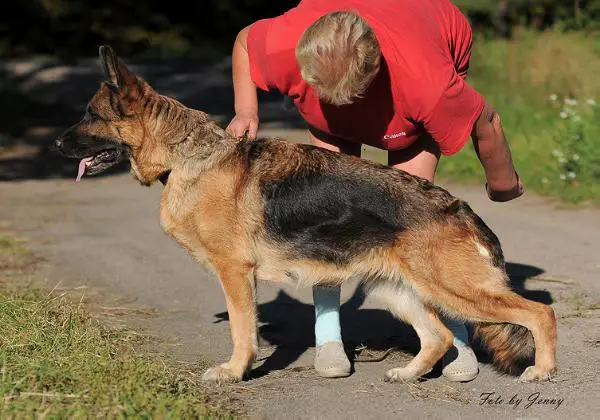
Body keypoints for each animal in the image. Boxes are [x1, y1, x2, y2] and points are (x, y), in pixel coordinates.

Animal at [55, 46, 556, 384]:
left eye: (91, 115)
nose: (57, 144)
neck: (185, 156)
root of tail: (462, 208)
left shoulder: (235, 274)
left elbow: (242, 331)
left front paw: (234, 372)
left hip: (455, 291)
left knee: (539, 314)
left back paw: (542, 371)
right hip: (398, 292)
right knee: (439, 337)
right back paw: (409, 374)